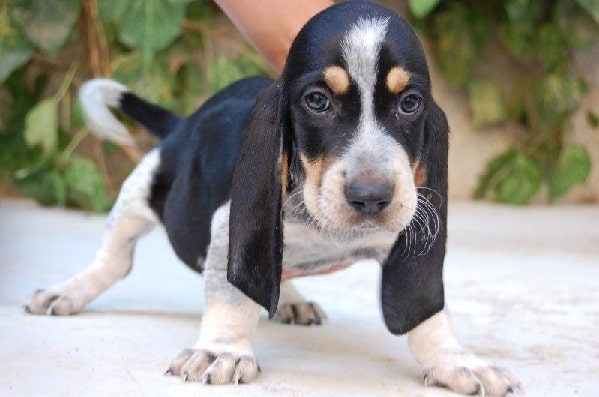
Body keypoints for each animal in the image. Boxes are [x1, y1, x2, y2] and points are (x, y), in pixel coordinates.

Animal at [24, 1, 520, 394]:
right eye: (317, 101)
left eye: (410, 103)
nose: (371, 197)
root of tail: (184, 123)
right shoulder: (232, 228)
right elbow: (231, 294)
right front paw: (222, 350)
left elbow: (429, 314)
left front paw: (455, 361)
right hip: (142, 187)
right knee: (114, 259)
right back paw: (67, 291)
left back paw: (292, 298)